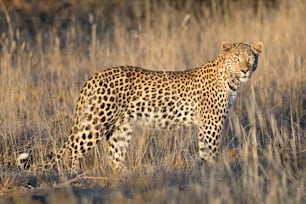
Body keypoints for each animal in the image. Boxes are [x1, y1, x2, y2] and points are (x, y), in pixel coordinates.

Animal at [19, 42, 262, 173]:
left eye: (251, 59)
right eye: (237, 58)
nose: (245, 70)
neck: (229, 79)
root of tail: (93, 76)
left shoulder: (205, 126)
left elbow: (203, 152)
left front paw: (203, 174)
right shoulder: (211, 125)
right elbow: (211, 152)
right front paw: (215, 174)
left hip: (121, 127)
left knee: (114, 157)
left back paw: (127, 175)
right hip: (97, 122)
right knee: (74, 150)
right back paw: (73, 176)